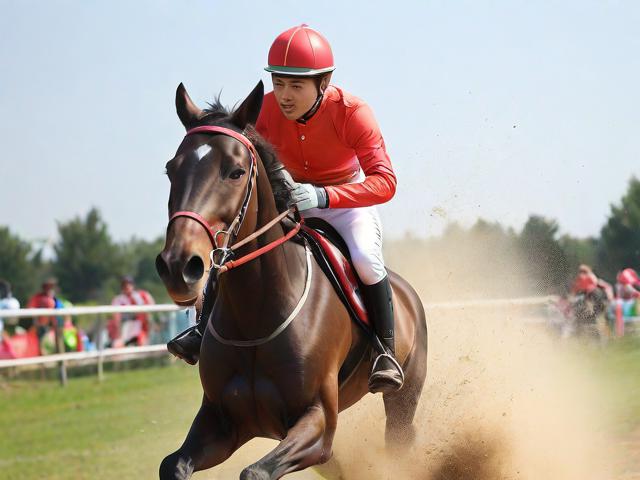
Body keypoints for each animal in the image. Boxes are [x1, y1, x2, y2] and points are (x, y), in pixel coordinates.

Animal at [155, 80, 428, 479]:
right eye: (171, 170)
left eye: (236, 171)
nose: (178, 266)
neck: (256, 313)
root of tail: (407, 294)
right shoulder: (221, 422)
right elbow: (173, 465)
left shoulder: (318, 423)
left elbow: (254, 472)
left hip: (402, 400)